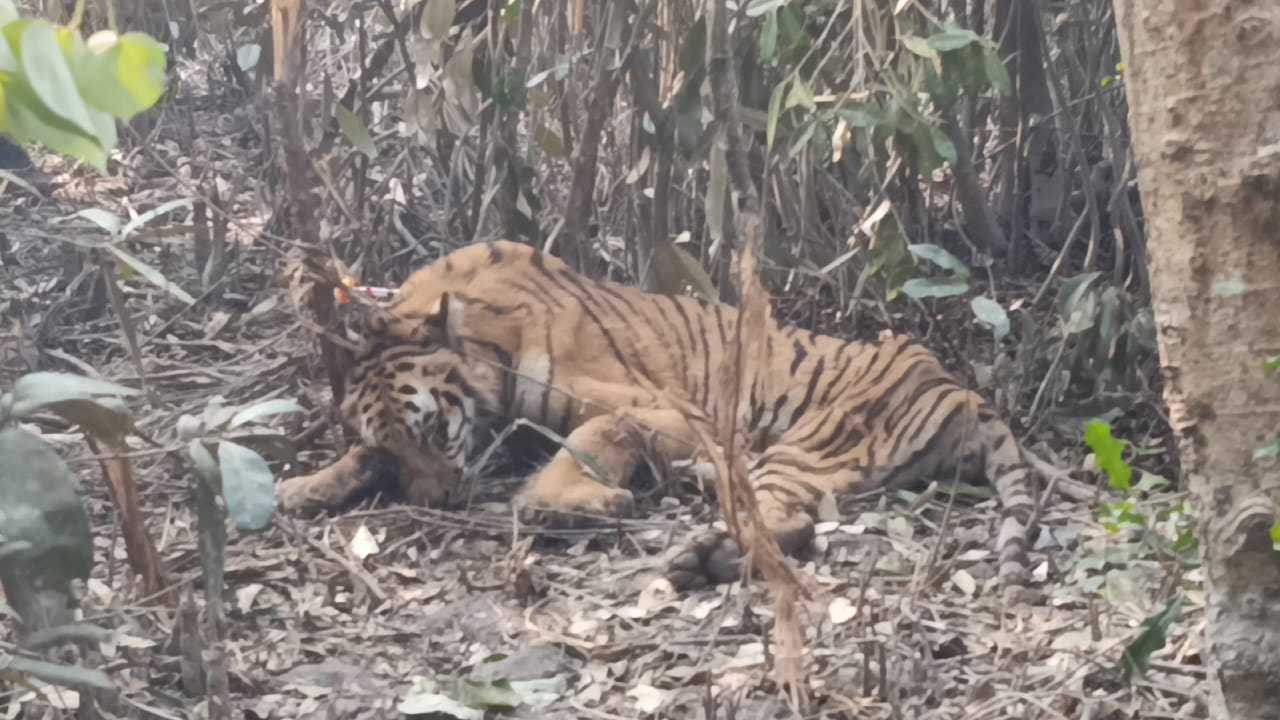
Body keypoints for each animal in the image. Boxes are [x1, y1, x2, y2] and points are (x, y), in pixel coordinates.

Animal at [278, 240, 1039, 599]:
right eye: (395, 450)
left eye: (435, 430)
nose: (435, 502)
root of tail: (959, 389)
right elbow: (354, 457)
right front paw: (303, 487)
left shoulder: (670, 408)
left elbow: (591, 437)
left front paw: (560, 503)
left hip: (807, 445)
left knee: (785, 524)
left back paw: (695, 553)